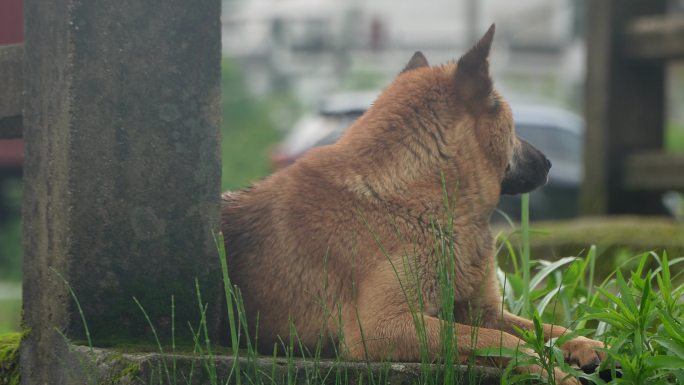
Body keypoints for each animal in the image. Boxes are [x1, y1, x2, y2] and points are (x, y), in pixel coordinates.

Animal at [222, 24, 600, 384]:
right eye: (512, 126)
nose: (549, 164)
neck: (408, 196)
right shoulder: (381, 328)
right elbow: (508, 342)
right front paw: (556, 372)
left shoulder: (483, 313)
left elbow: (542, 328)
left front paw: (585, 344)